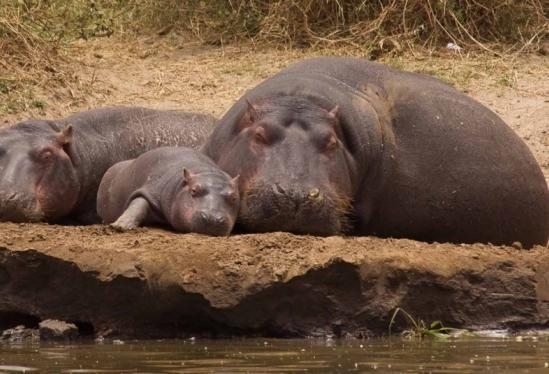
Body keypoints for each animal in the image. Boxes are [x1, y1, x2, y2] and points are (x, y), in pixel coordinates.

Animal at [97, 147, 239, 237]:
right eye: (194, 190)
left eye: (233, 198)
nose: (213, 218)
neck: (203, 171)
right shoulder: (152, 187)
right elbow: (138, 204)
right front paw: (120, 226)